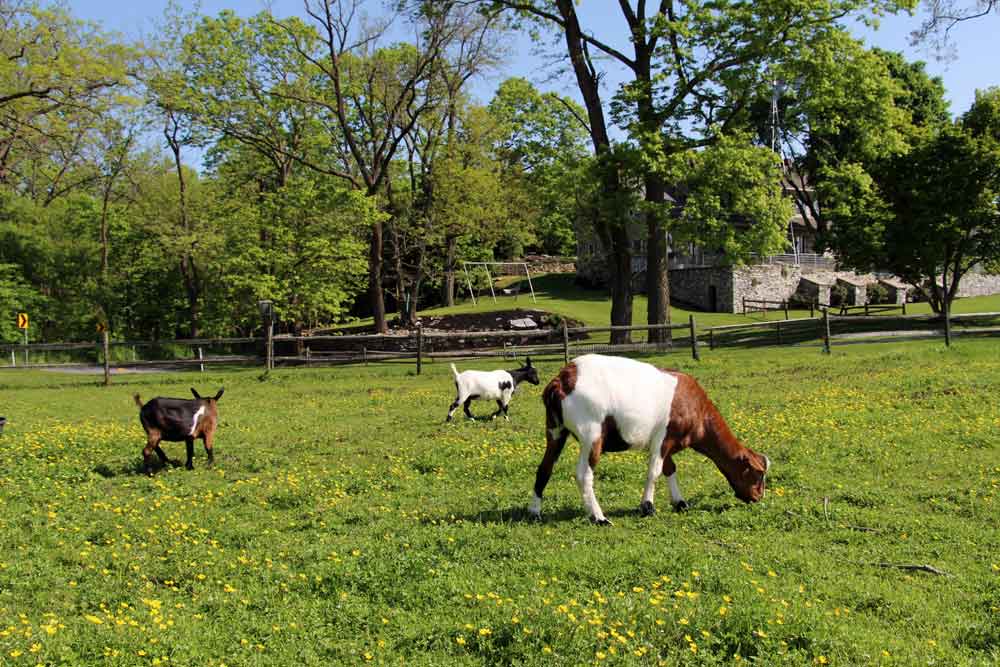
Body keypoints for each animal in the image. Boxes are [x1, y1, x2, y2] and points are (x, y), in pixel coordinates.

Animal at [528, 358, 768, 524]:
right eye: (757, 475)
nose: (758, 497)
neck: (696, 407)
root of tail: (563, 378)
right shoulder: (663, 439)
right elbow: (654, 472)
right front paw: (648, 507)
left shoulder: (668, 443)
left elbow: (670, 469)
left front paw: (680, 503)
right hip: (591, 434)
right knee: (583, 475)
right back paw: (599, 517)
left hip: (555, 430)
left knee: (544, 468)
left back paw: (535, 512)